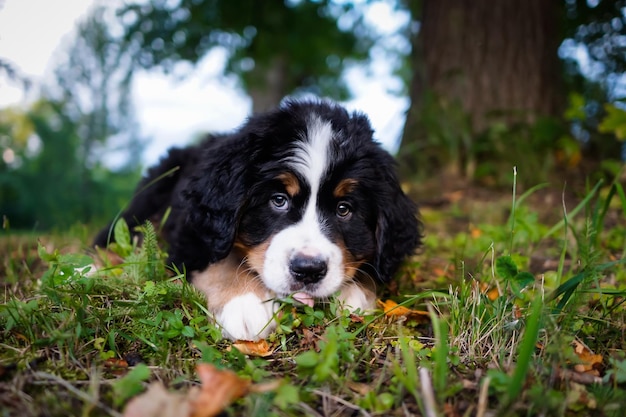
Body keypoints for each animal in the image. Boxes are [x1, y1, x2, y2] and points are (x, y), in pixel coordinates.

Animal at [95, 99, 422, 340]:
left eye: (344, 209)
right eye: (278, 200)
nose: (308, 270)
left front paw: (355, 292)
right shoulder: (190, 239)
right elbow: (224, 262)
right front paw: (244, 305)